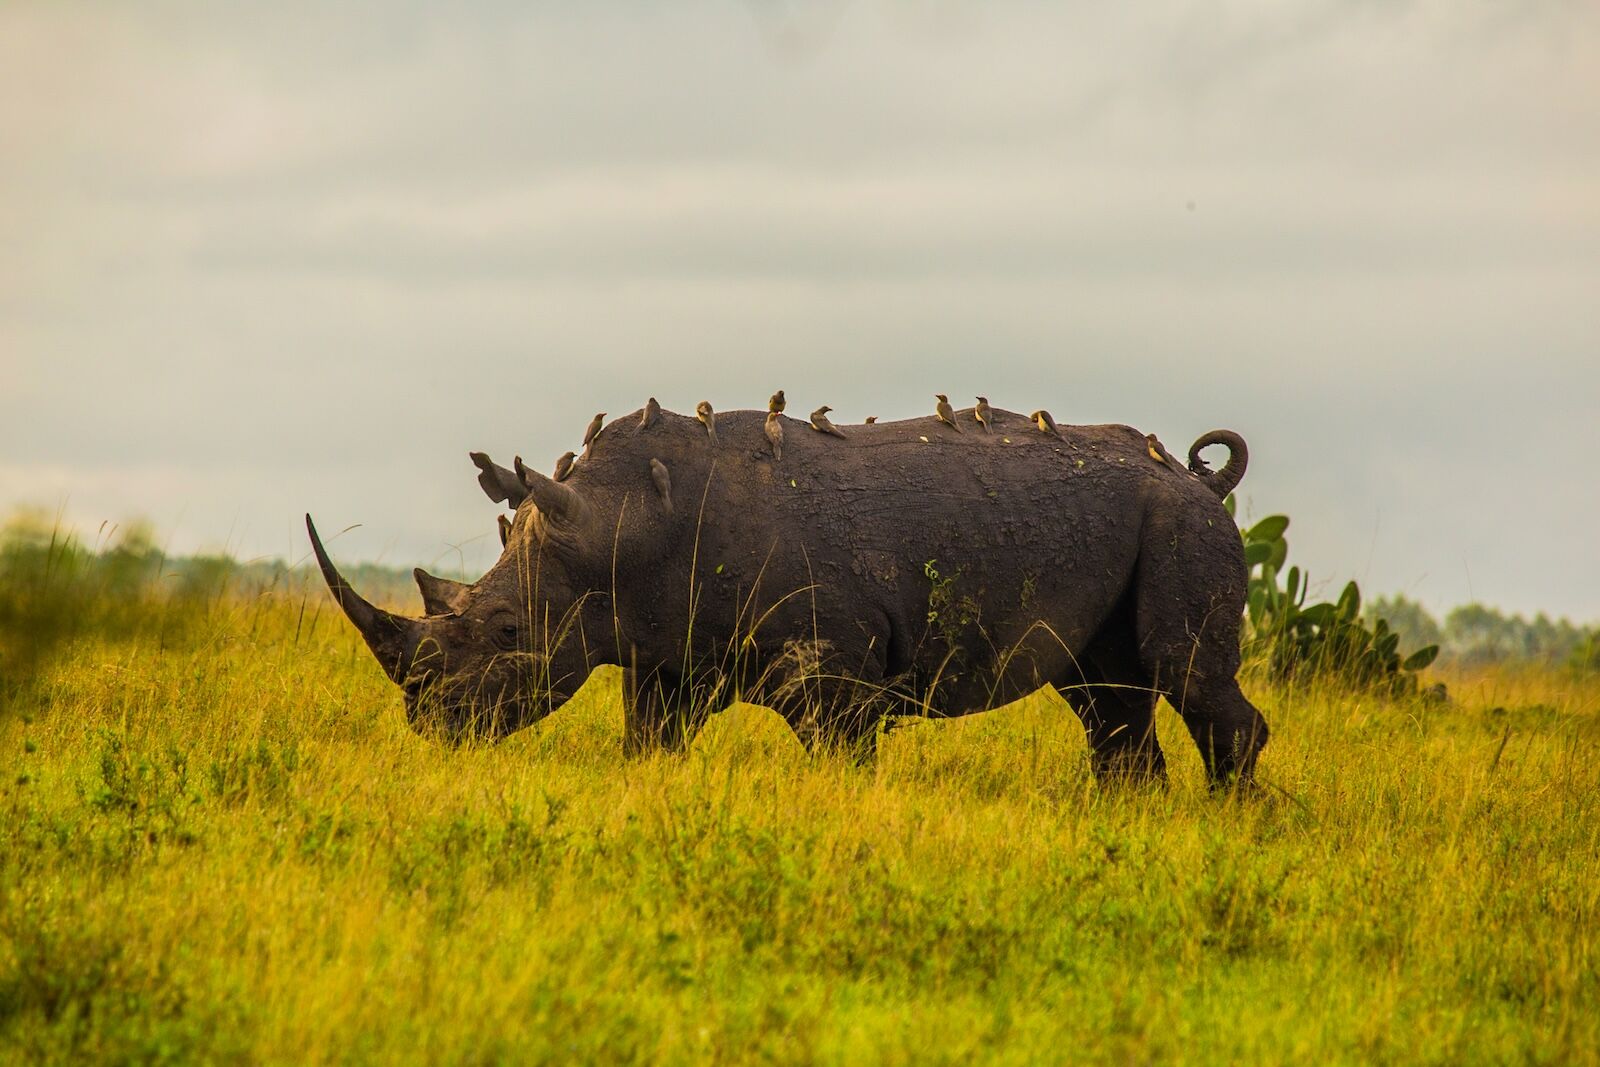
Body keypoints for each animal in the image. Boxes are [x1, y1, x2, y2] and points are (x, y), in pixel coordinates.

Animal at [307, 403, 1267, 786]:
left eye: (508, 631)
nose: (428, 723)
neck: (615, 522)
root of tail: (1198, 477)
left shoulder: (834, 668)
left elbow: (842, 753)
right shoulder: (665, 652)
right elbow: (647, 744)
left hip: (1181, 520)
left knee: (1182, 674)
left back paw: (1229, 824)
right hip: (1141, 522)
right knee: (1105, 694)